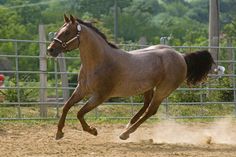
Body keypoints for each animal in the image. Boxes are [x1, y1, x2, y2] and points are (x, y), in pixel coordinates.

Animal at [47, 14, 214, 140]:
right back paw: (128, 125)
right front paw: (59, 133)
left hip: (163, 90)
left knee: (150, 111)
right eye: (59, 30)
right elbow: (66, 106)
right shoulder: (81, 89)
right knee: (145, 106)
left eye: (67, 32)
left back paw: (126, 133)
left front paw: (92, 130)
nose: (50, 49)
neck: (99, 61)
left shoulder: (100, 96)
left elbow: (79, 112)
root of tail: (181, 56)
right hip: (148, 88)